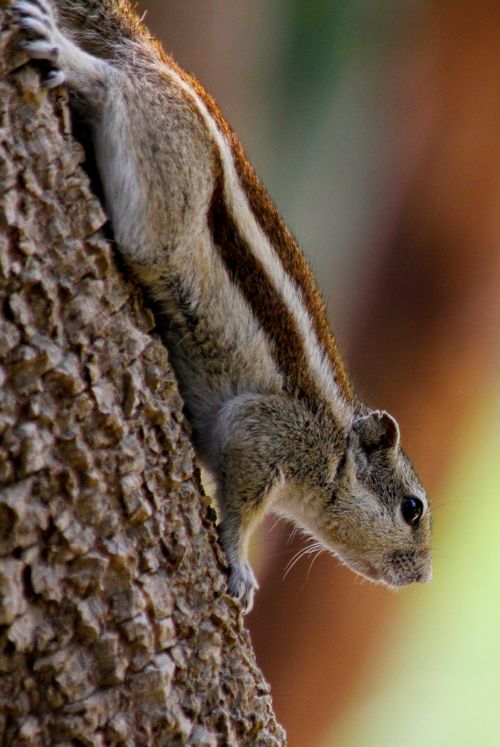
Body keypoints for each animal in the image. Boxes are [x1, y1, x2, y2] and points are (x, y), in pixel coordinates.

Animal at [11, 0, 432, 612]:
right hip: (166, 185)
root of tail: (161, 61)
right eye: (412, 509)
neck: (335, 447)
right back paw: (67, 55)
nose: (424, 576)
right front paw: (239, 567)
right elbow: (240, 511)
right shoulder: (267, 433)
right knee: (112, 86)